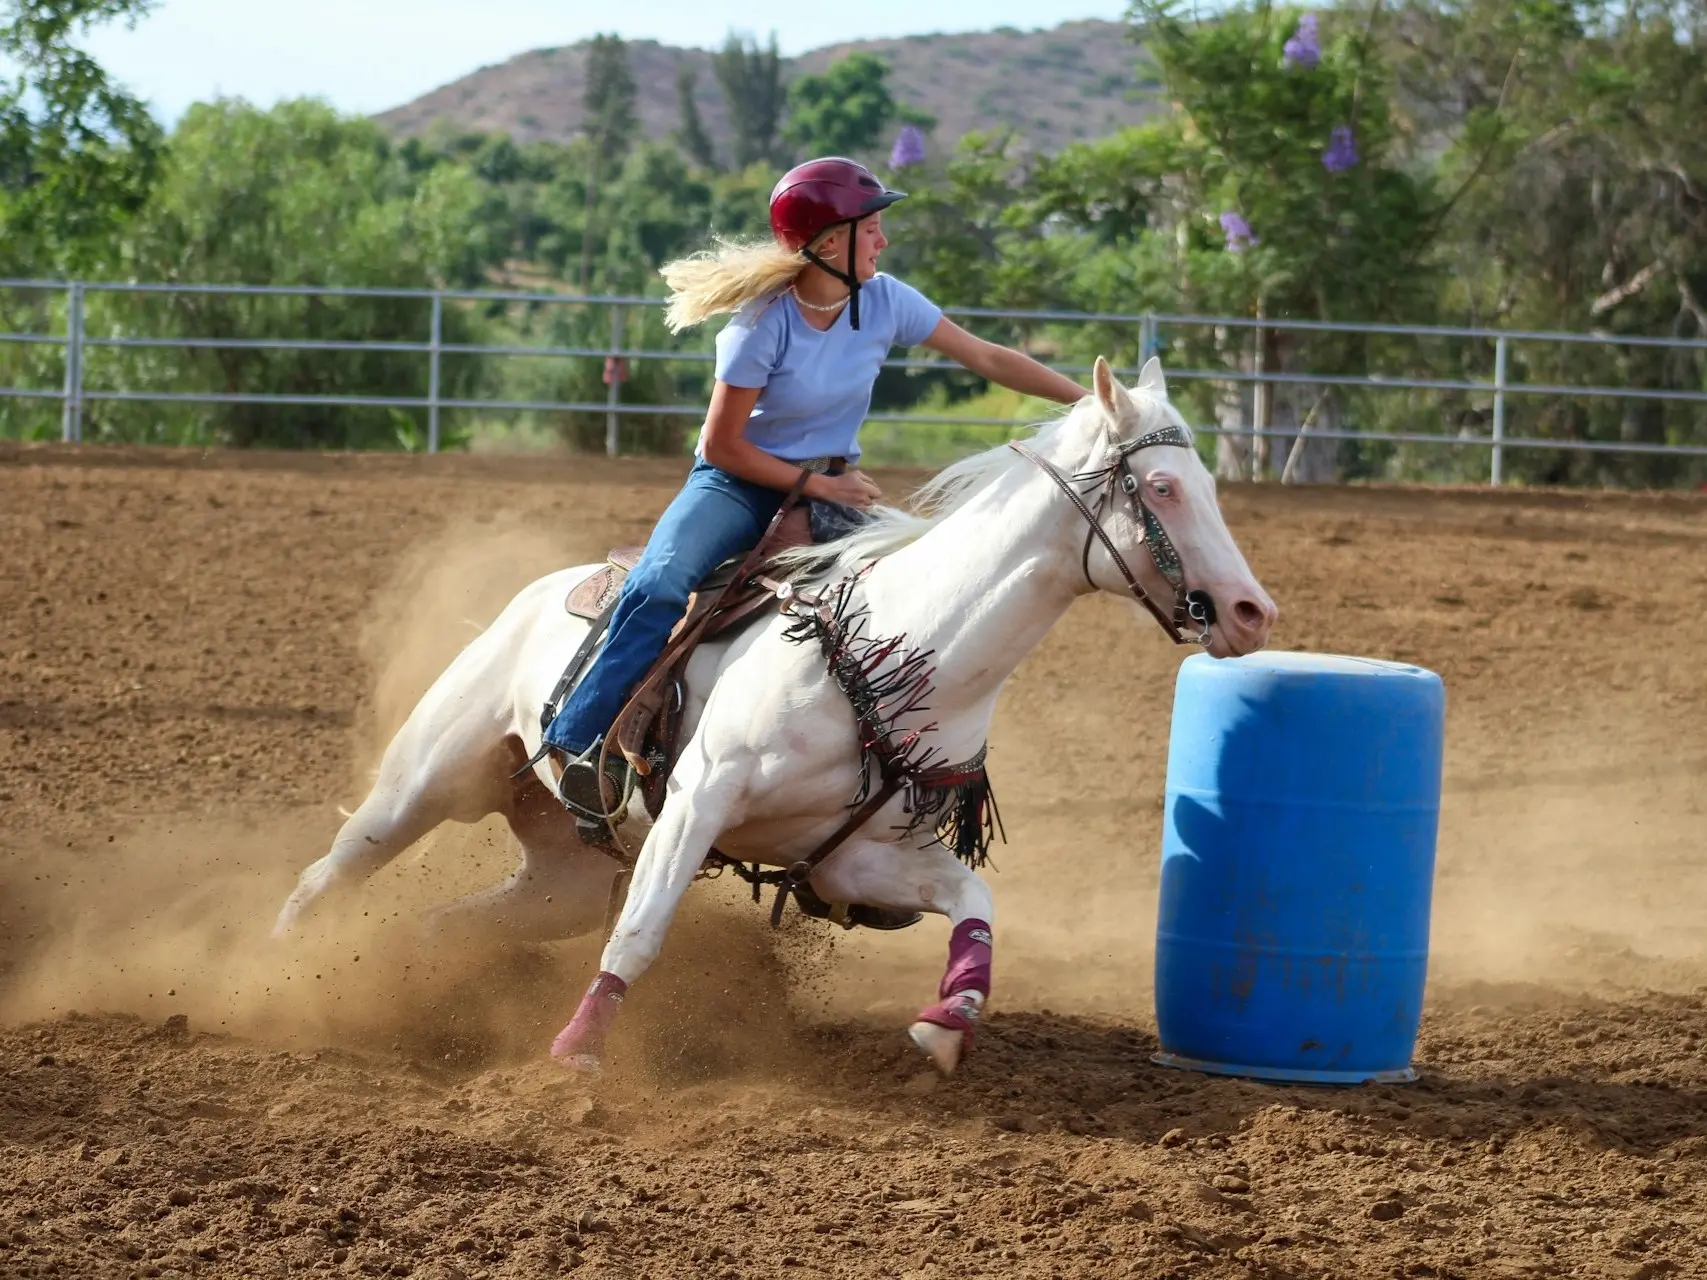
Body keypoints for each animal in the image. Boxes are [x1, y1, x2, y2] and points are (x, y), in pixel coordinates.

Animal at [273, 361, 1276, 1085]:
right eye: (1160, 486)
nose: (1250, 611)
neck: (907, 647)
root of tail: (535, 594)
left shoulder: (851, 858)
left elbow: (975, 903)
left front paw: (948, 1020)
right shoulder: (697, 802)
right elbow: (641, 931)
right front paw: (577, 1052)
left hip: (564, 872)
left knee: (455, 922)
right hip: (425, 785)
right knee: (329, 872)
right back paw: (273, 970)